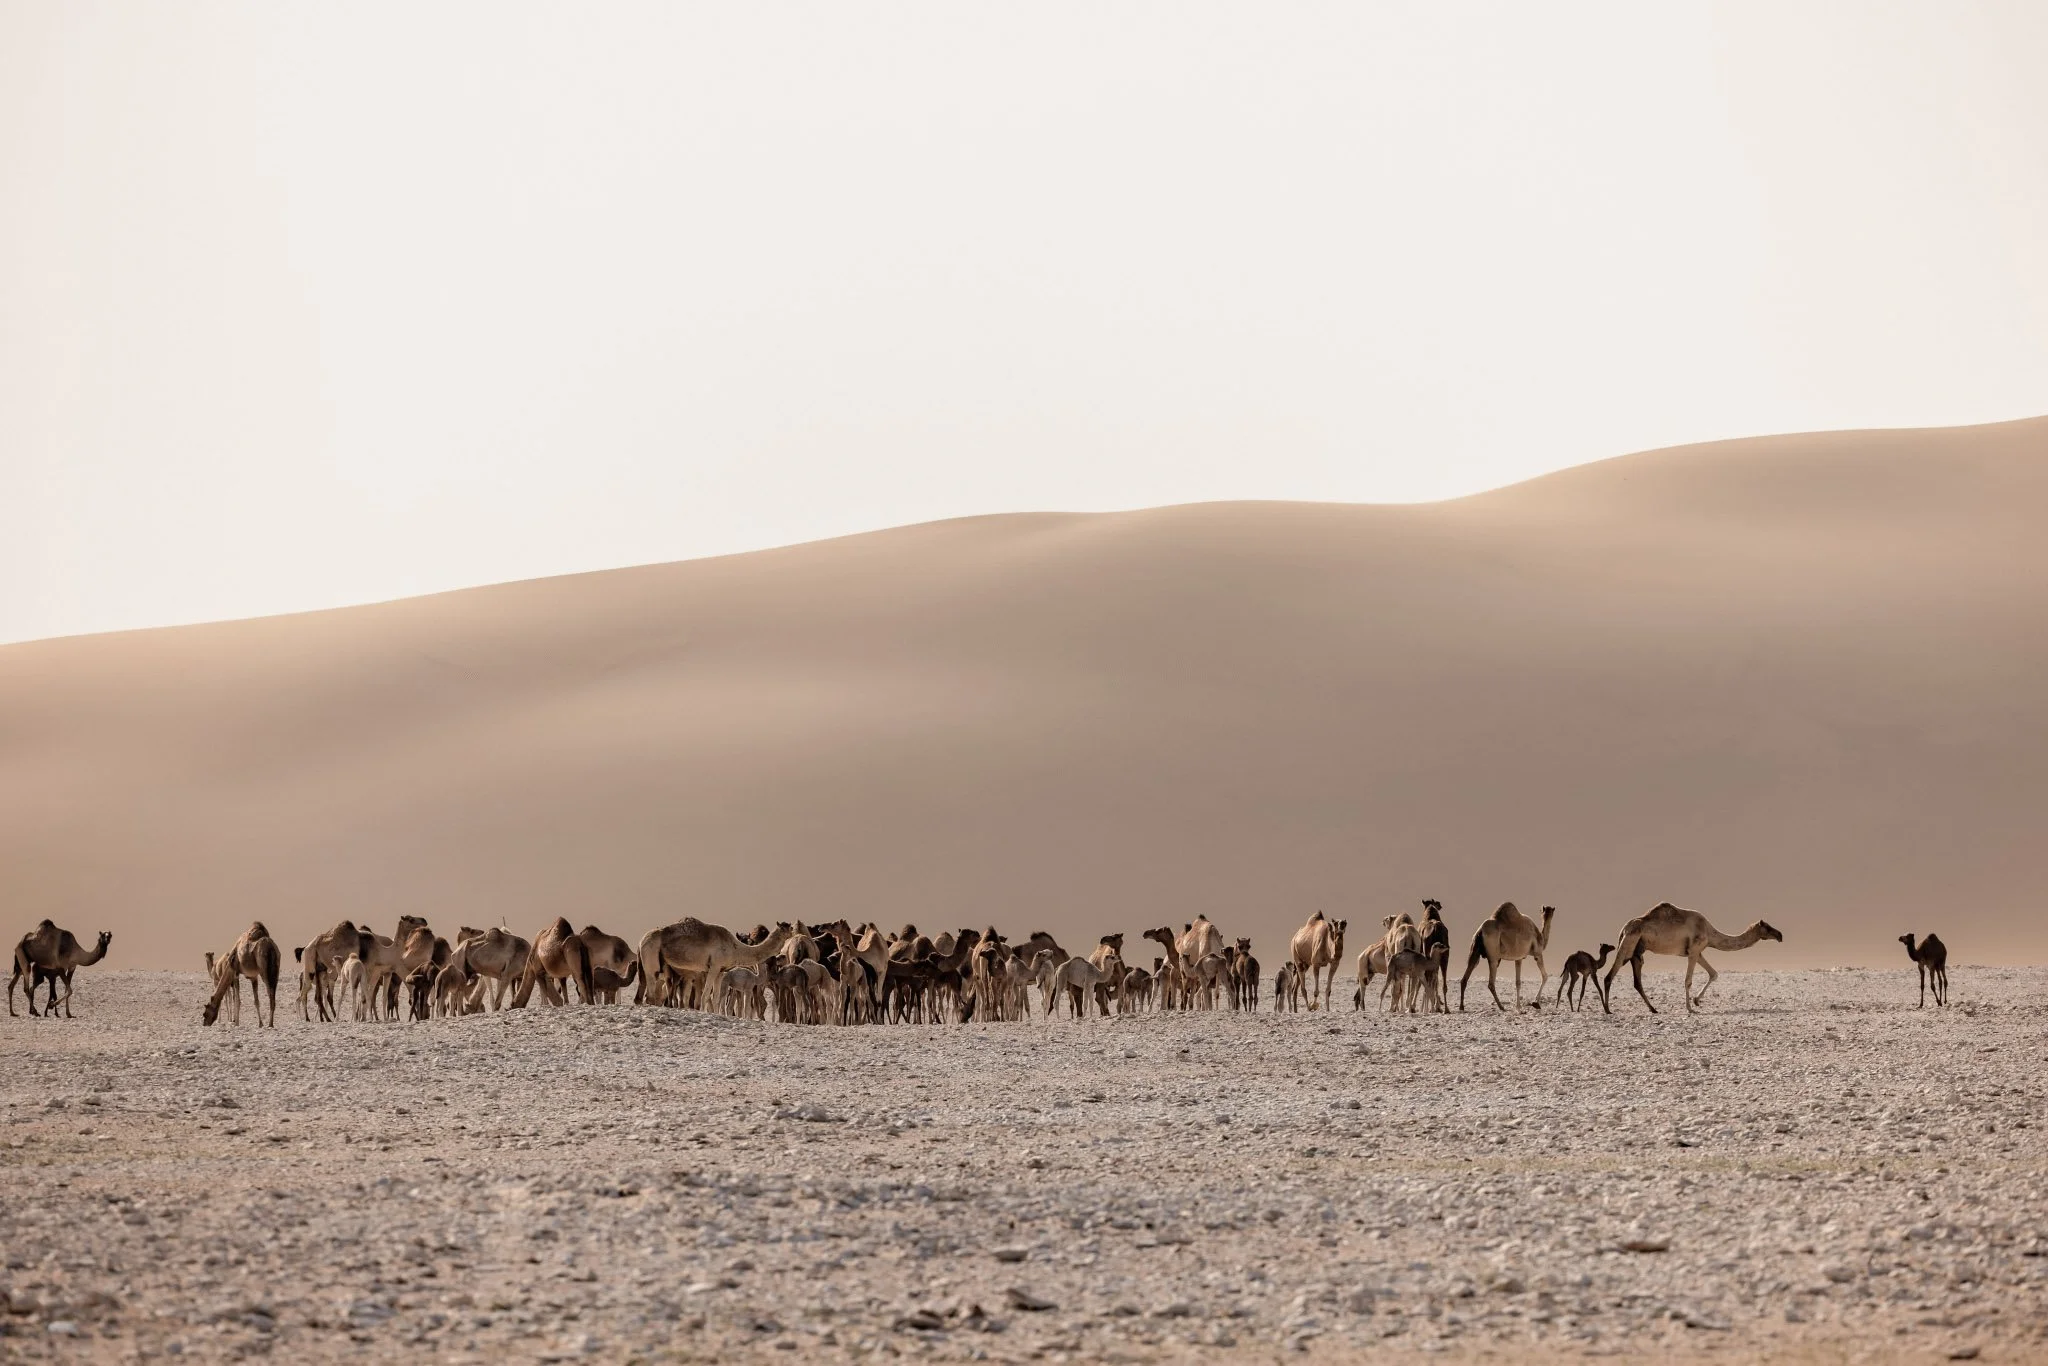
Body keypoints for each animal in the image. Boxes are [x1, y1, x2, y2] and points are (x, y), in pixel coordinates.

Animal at [1601, 902, 1783, 1014]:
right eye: (1767, 927)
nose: (1780, 935)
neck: (1710, 931)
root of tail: (1623, 929)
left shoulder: (1697, 951)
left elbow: (1713, 973)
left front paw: (1696, 1001)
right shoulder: (1695, 949)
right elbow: (1688, 980)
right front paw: (1690, 1008)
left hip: (1637, 950)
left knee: (1637, 981)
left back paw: (1653, 1009)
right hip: (1628, 942)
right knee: (1610, 975)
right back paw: (1608, 1009)